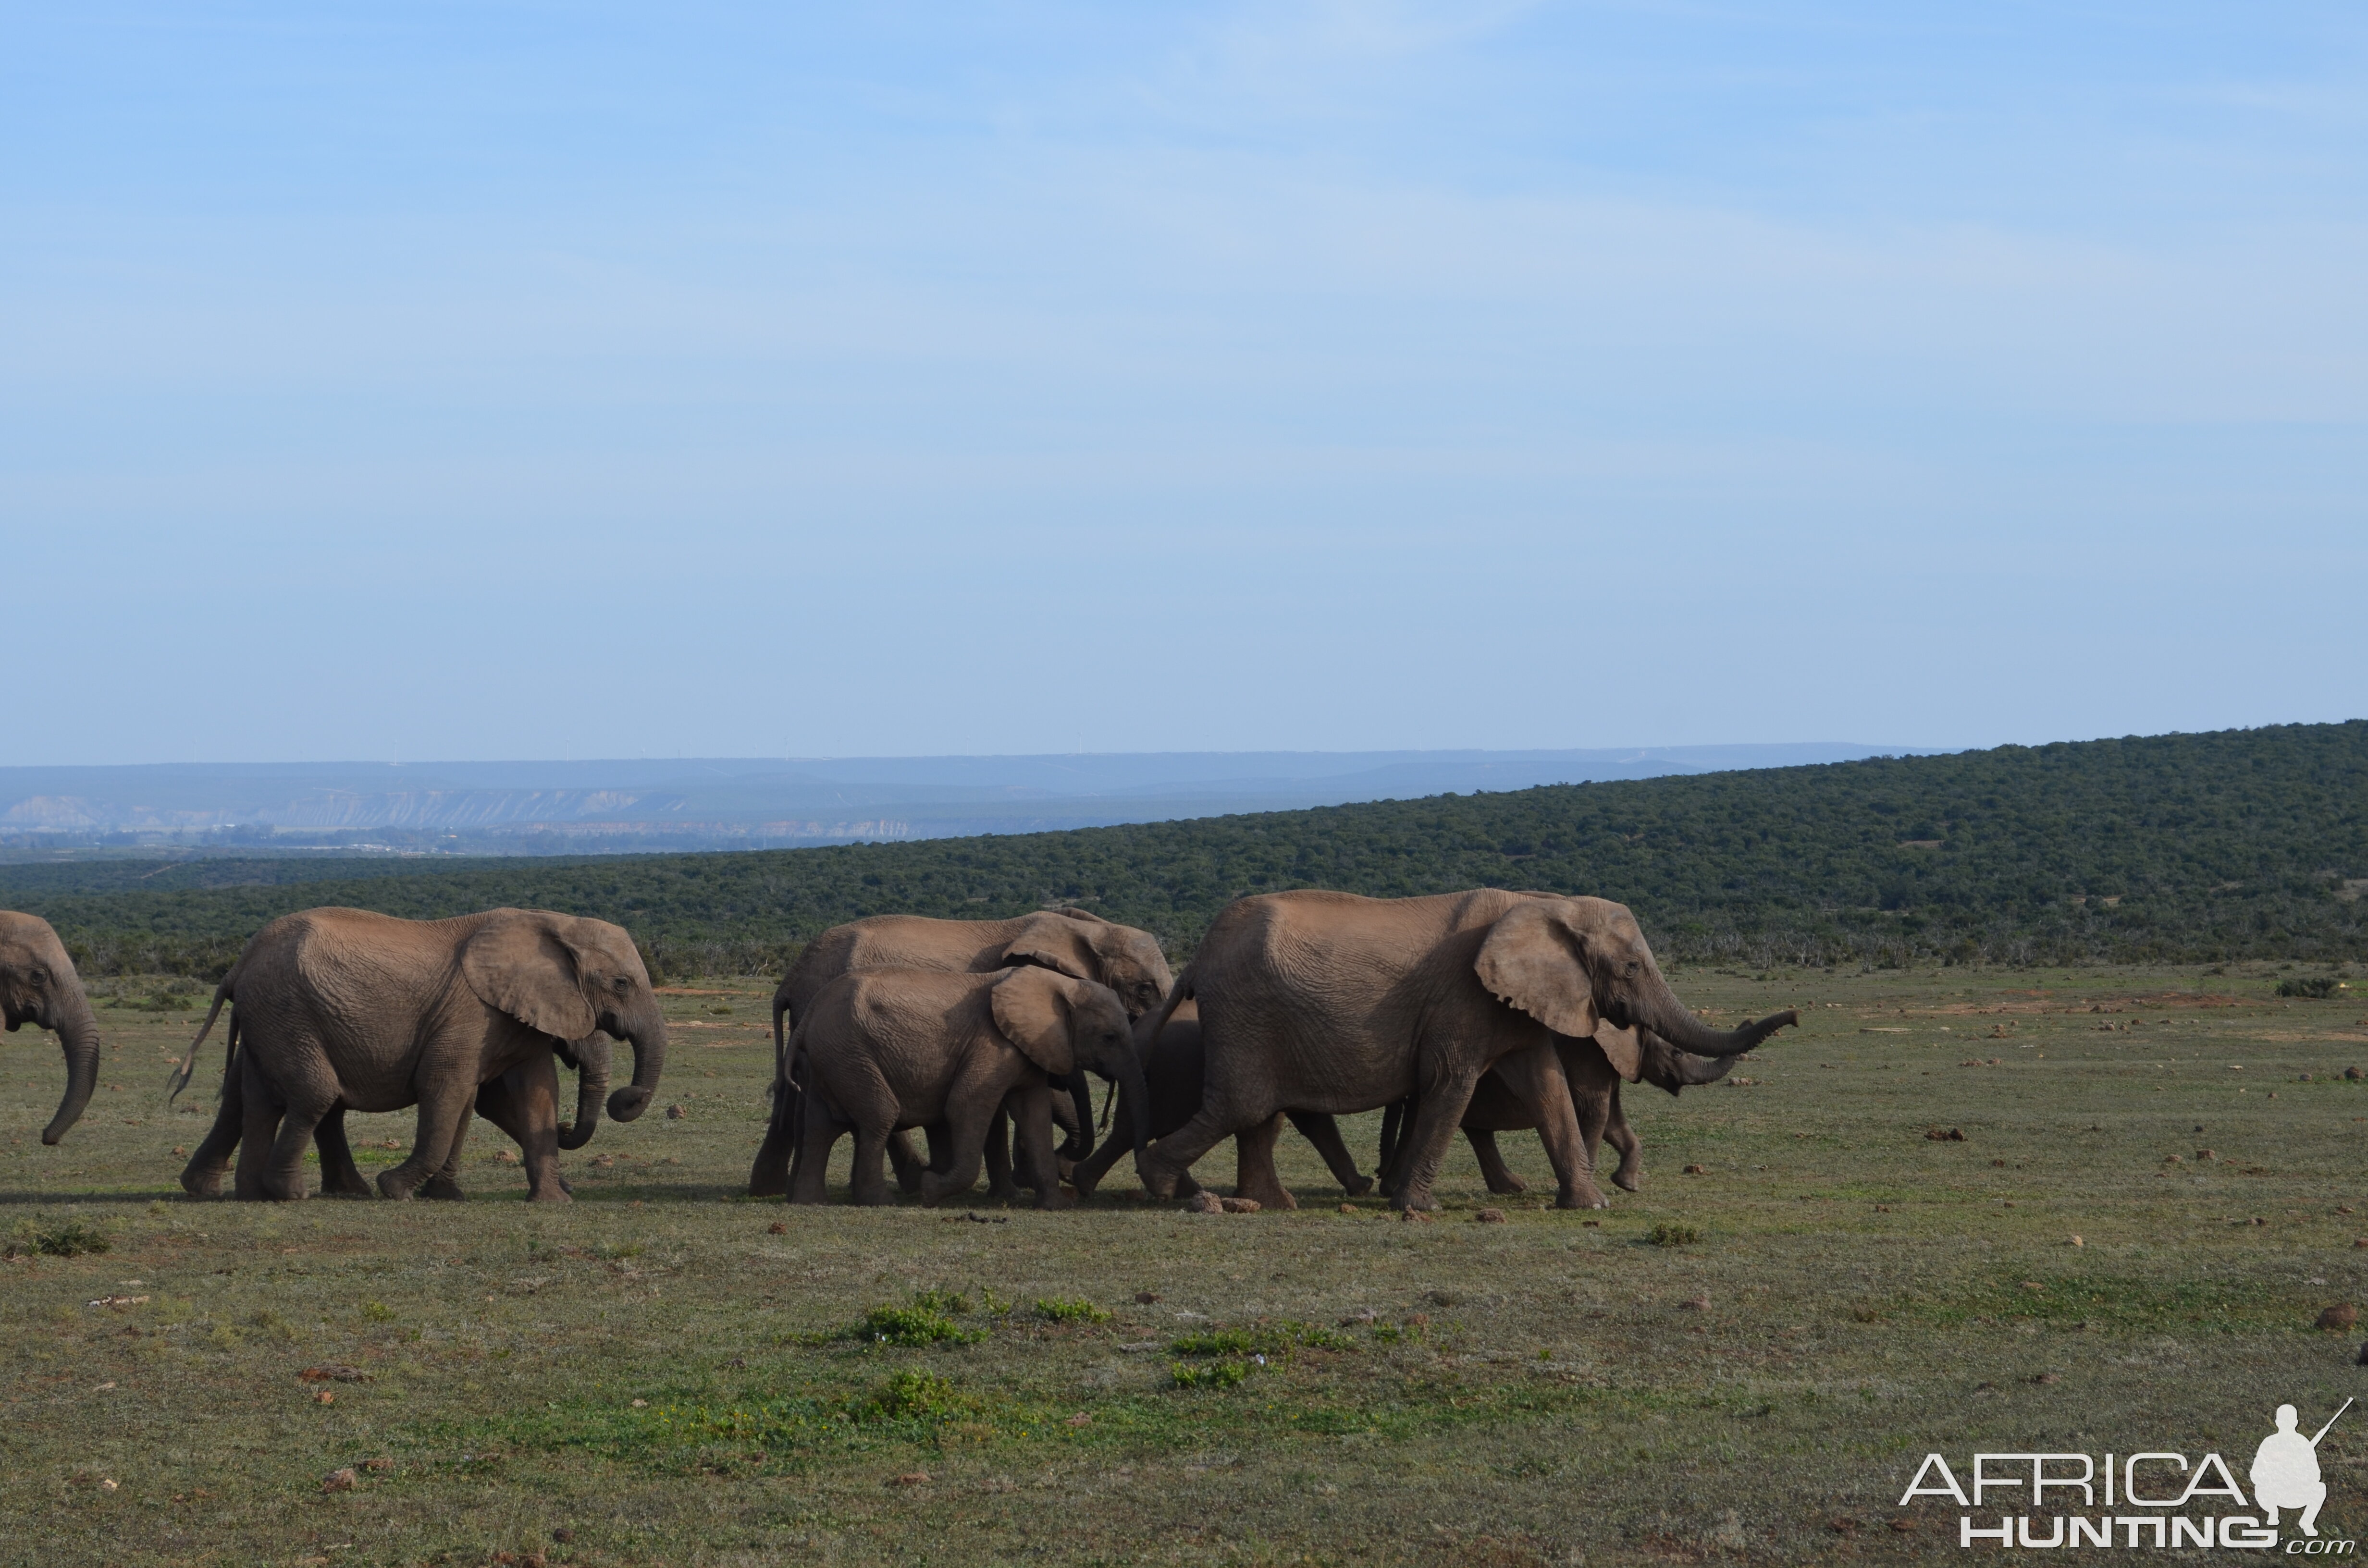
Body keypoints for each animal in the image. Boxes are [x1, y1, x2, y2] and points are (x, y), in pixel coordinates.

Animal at [172, 909, 663, 1203]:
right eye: (621, 984)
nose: (625, 1098)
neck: (552, 922)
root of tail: (241, 961)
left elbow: (529, 1097)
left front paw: (552, 1200)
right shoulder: (469, 1013)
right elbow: (448, 1089)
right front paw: (397, 1189)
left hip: (276, 1017)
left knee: (260, 1097)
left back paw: (249, 1192)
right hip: (287, 1011)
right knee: (315, 1094)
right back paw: (291, 1193)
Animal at [790, 966, 1151, 1208]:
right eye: (1109, 1038)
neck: (1060, 985)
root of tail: (810, 1012)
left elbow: (1034, 1116)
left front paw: (1057, 1206)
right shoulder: (992, 1046)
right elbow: (966, 1106)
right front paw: (929, 1190)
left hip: (832, 1057)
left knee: (821, 1126)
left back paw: (811, 1201)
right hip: (848, 1052)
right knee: (880, 1116)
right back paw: (880, 1201)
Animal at [1132, 895, 1790, 1213]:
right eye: (1630, 968)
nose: (1792, 1015)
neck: (1547, 904)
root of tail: (1199, 953)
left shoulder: (1513, 1002)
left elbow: (1547, 1088)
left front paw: (1591, 1202)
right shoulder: (1463, 998)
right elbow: (1452, 1082)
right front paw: (1415, 1207)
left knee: (1257, 1116)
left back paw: (1268, 1204)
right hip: (1245, 1015)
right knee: (1241, 1106)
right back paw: (1169, 1188)